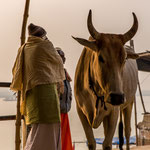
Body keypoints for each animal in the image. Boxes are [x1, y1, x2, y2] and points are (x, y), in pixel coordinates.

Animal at [72, 9, 140, 150]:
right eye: (100, 57)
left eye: (125, 58)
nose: (117, 97)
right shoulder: (81, 111)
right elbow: (91, 143)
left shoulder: (113, 112)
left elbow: (107, 144)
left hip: (129, 103)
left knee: (127, 131)